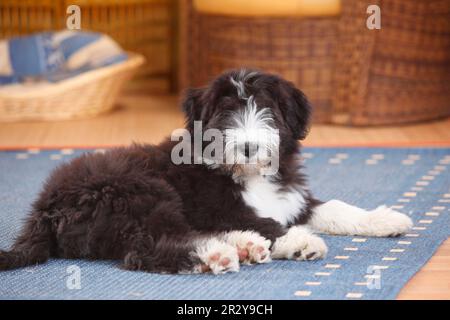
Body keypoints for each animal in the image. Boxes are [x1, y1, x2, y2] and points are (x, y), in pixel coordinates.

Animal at [0, 70, 414, 276]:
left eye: (267, 110)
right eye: (226, 114)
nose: (248, 146)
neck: (249, 174)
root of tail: (43, 210)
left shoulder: (292, 198)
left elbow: (334, 207)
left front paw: (385, 219)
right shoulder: (218, 206)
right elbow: (266, 222)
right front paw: (298, 241)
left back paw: (242, 247)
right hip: (141, 192)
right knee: (146, 248)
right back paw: (219, 254)